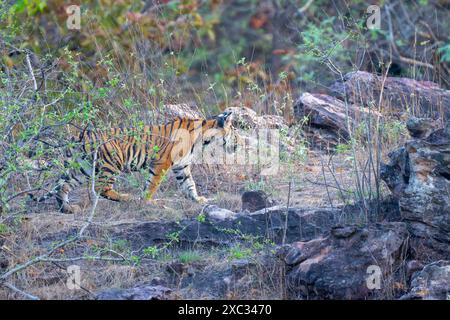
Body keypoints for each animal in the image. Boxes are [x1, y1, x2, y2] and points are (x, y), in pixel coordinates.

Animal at [29, 111, 237, 214]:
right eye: (234, 132)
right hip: (111, 163)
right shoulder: (162, 163)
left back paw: (67, 209)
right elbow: (152, 185)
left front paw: (198, 199)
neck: (202, 140)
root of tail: (80, 136)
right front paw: (147, 201)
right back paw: (126, 198)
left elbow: (189, 184)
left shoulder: (182, 166)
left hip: (82, 168)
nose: (239, 143)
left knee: (63, 186)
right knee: (102, 189)